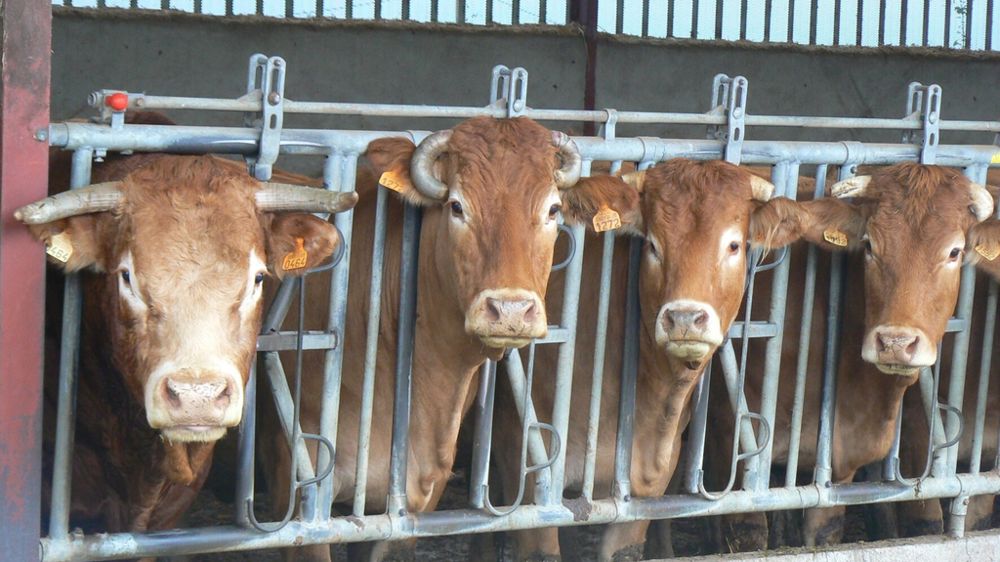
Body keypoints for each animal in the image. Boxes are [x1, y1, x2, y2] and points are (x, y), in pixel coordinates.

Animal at [704, 162, 996, 550]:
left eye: (955, 252)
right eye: (869, 245)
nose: (895, 342)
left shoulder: (839, 466)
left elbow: (825, 531)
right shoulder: (730, 445)